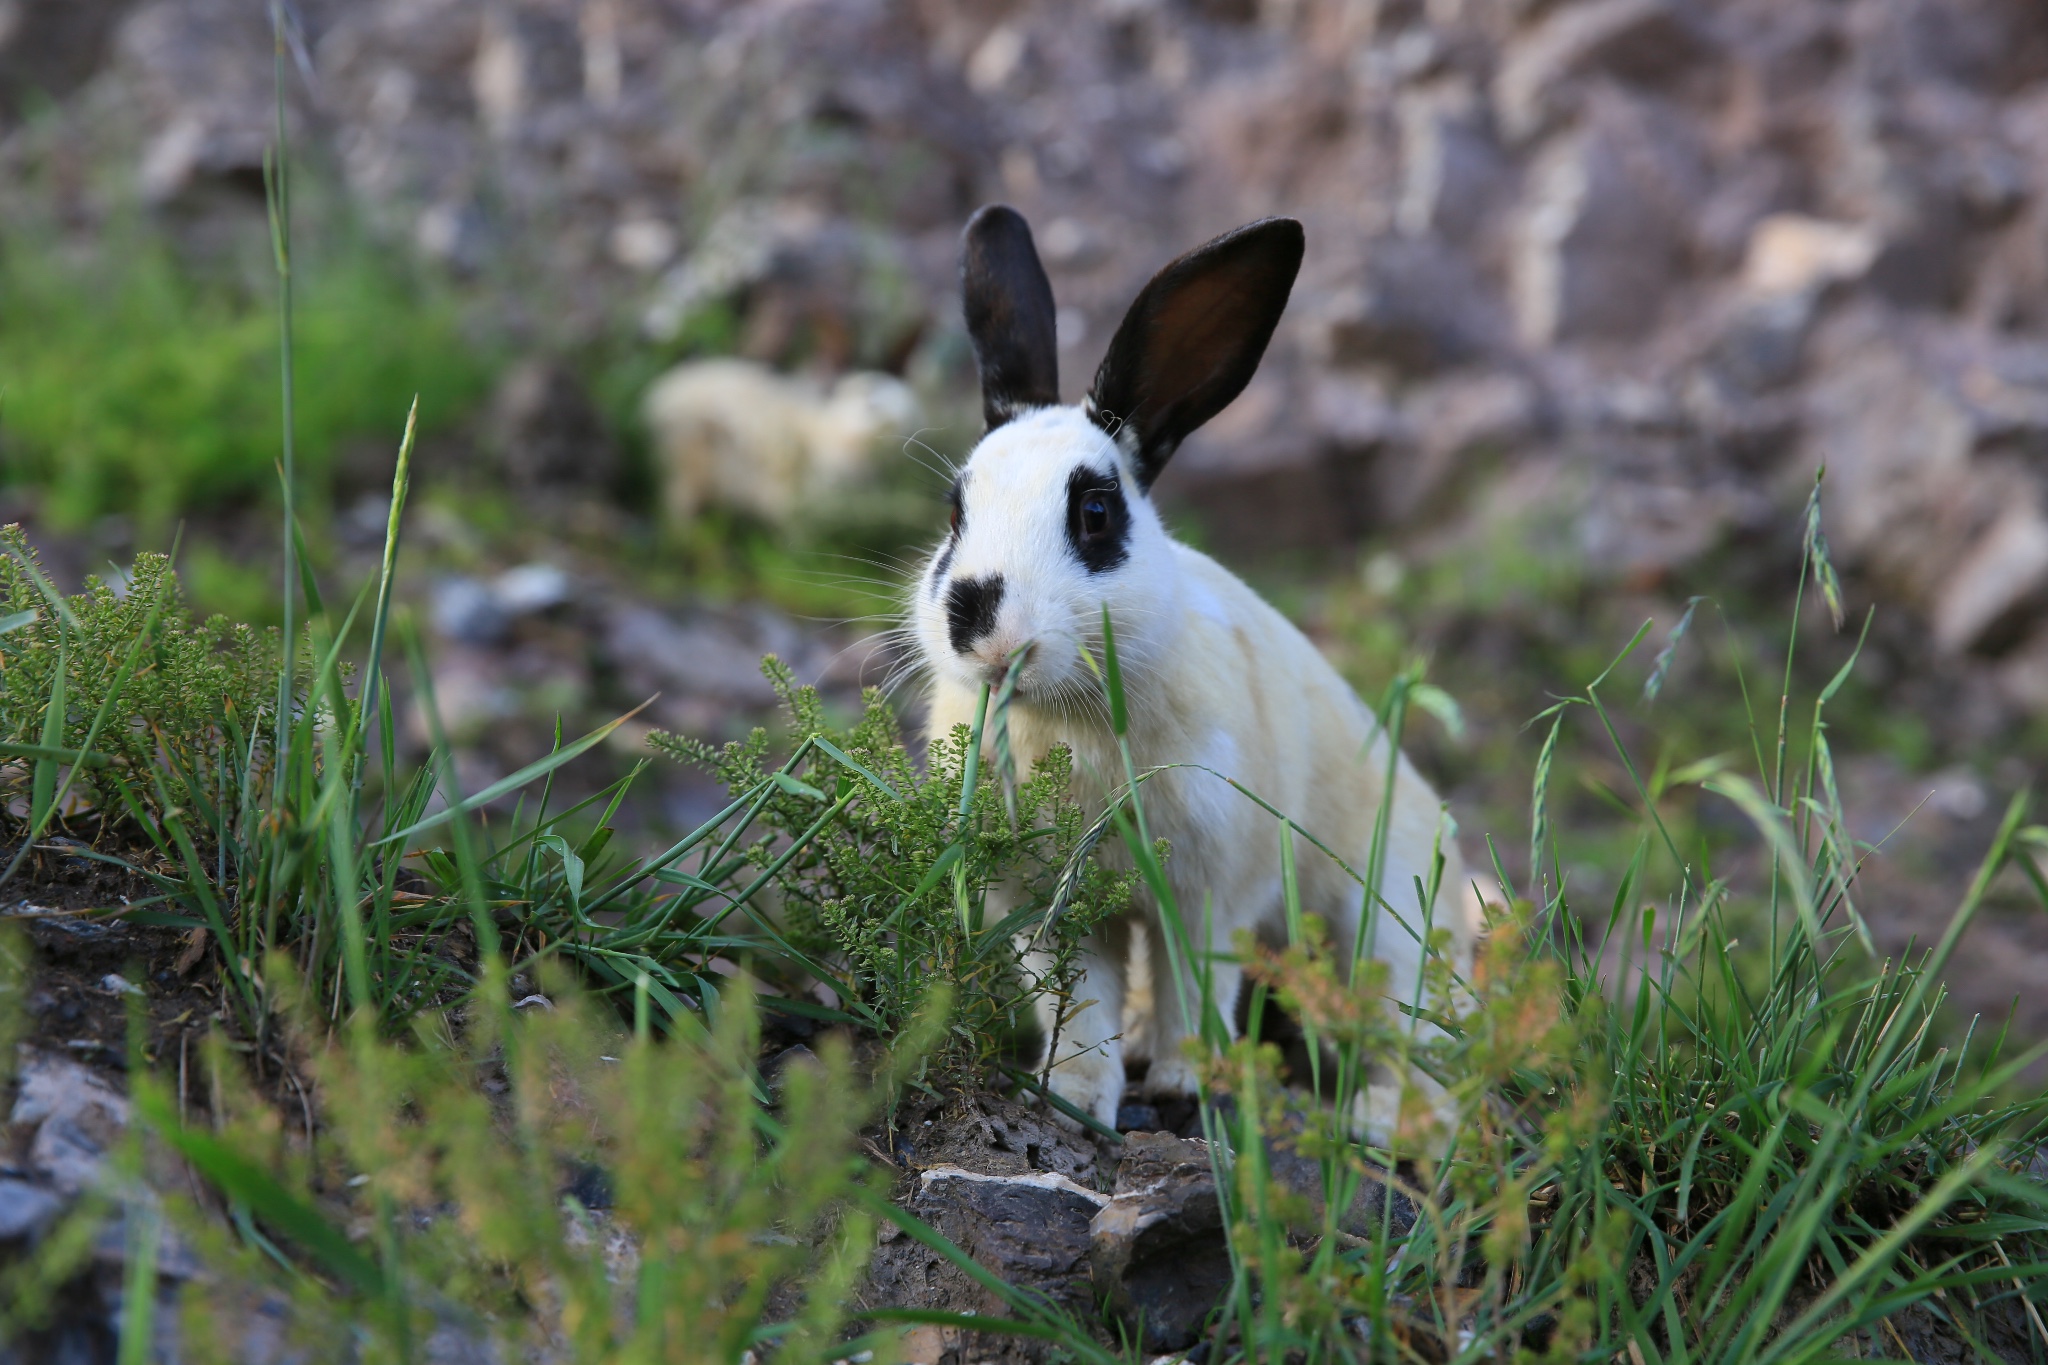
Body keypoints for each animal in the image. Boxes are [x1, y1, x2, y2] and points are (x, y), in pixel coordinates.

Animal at [917, 202, 1490, 1146]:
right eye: (954, 511)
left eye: (1096, 512)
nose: (983, 626)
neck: (1071, 718)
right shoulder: (1047, 909)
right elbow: (1079, 1005)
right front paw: (1074, 1096)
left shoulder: (1211, 886)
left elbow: (1196, 982)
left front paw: (1188, 1085)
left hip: (1386, 920)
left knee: (1407, 1024)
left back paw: (1383, 1116)